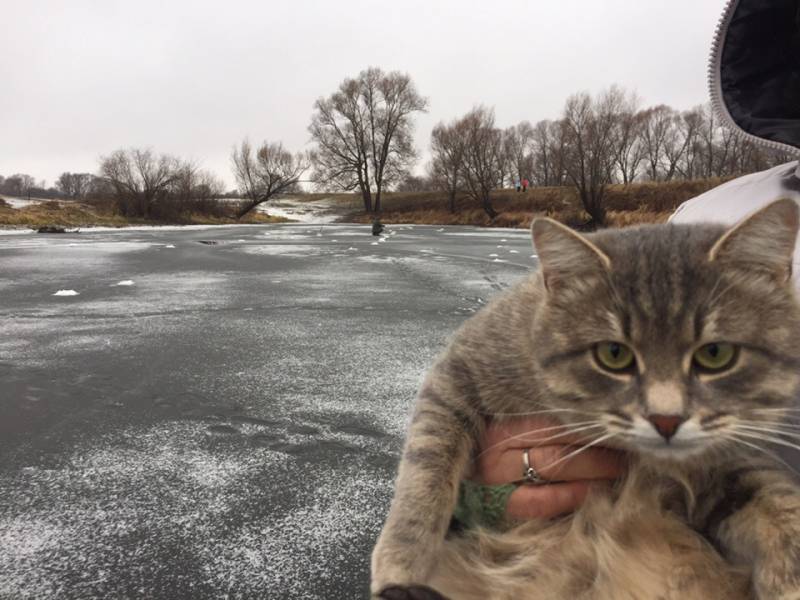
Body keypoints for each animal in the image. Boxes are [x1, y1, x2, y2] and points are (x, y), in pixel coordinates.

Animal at [372, 199, 800, 596]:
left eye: (715, 354)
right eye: (614, 354)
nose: (666, 420)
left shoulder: (721, 465)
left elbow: (774, 498)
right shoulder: (457, 374)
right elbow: (427, 465)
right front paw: (402, 558)